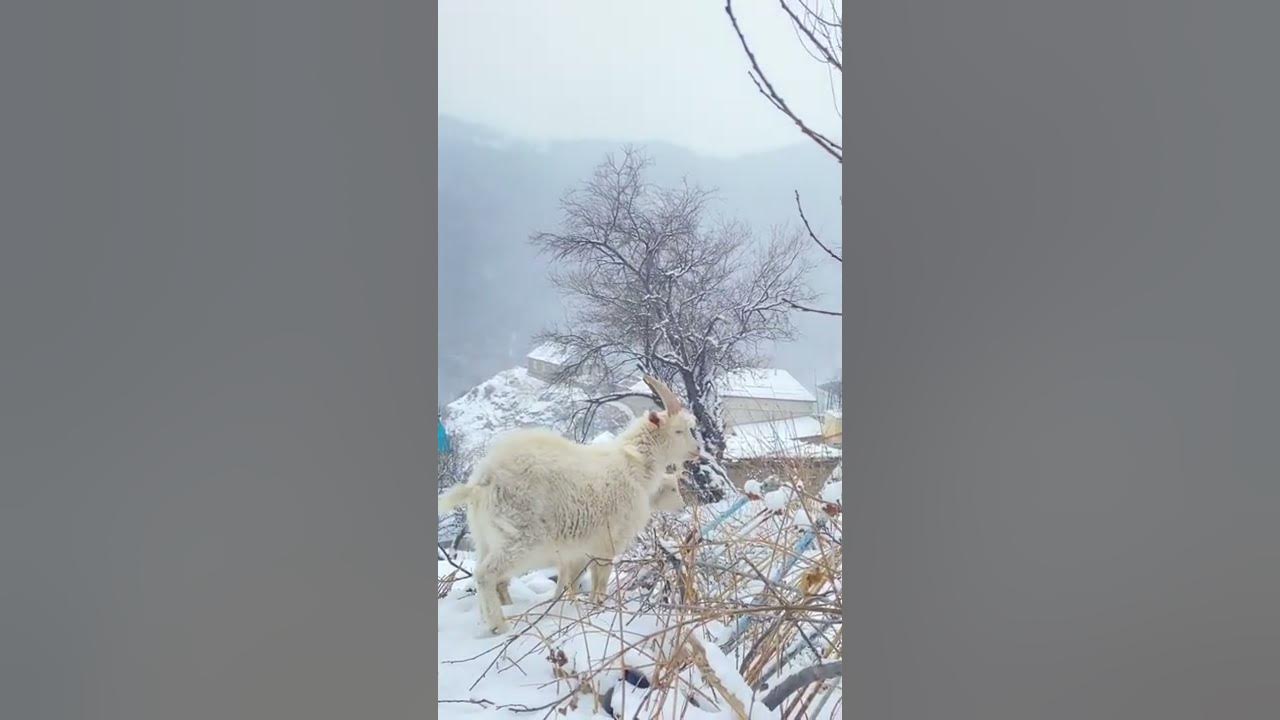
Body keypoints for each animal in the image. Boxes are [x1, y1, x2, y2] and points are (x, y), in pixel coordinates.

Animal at [440, 371, 701, 630]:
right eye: (680, 431)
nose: (697, 450)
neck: (634, 465)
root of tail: (483, 480)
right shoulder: (608, 541)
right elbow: (600, 580)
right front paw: (599, 607)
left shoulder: (582, 550)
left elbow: (574, 582)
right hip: (521, 535)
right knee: (486, 574)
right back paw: (499, 626)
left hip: (485, 536)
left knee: (482, 570)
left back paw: (490, 617)